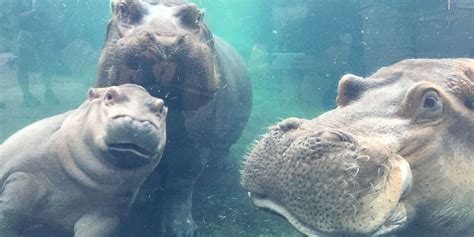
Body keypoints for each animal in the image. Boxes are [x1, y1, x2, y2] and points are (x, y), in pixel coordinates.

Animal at [0, 84, 168, 236]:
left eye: (161, 108)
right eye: (109, 95)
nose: (138, 121)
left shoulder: (105, 214)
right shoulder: (23, 176)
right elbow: (9, 213)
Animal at [95, 0, 254, 236]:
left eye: (196, 16)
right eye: (123, 8)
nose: (164, 41)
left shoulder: (195, 142)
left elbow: (181, 182)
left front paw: (181, 230)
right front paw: (140, 201)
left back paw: (221, 165)